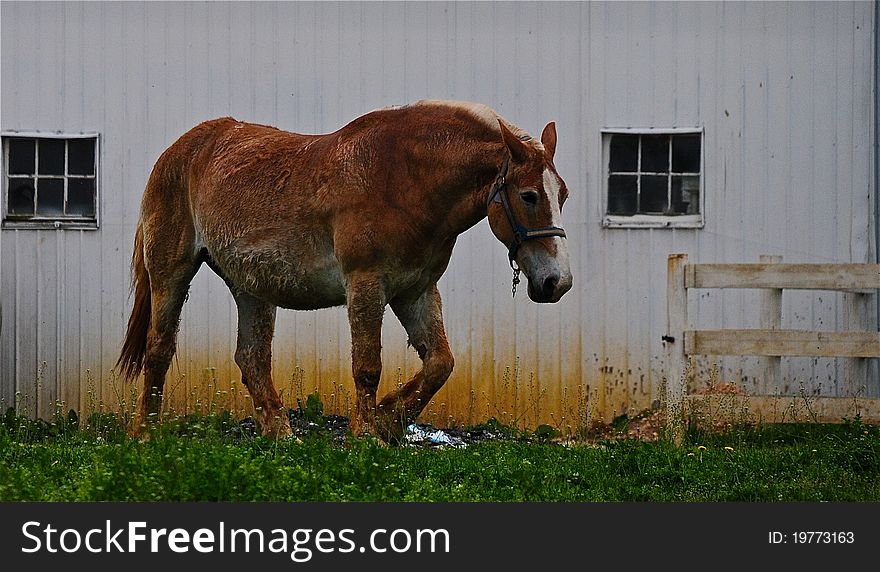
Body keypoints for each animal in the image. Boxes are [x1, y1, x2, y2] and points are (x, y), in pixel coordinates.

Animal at [115, 100, 572, 442]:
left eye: (562, 194)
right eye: (529, 195)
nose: (558, 283)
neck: (404, 180)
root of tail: (182, 148)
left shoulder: (416, 291)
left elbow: (440, 363)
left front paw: (389, 421)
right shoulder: (366, 285)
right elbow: (368, 367)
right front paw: (366, 434)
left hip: (252, 287)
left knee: (252, 359)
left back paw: (282, 436)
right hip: (171, 272)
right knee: (159, 349)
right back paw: (144, 435)